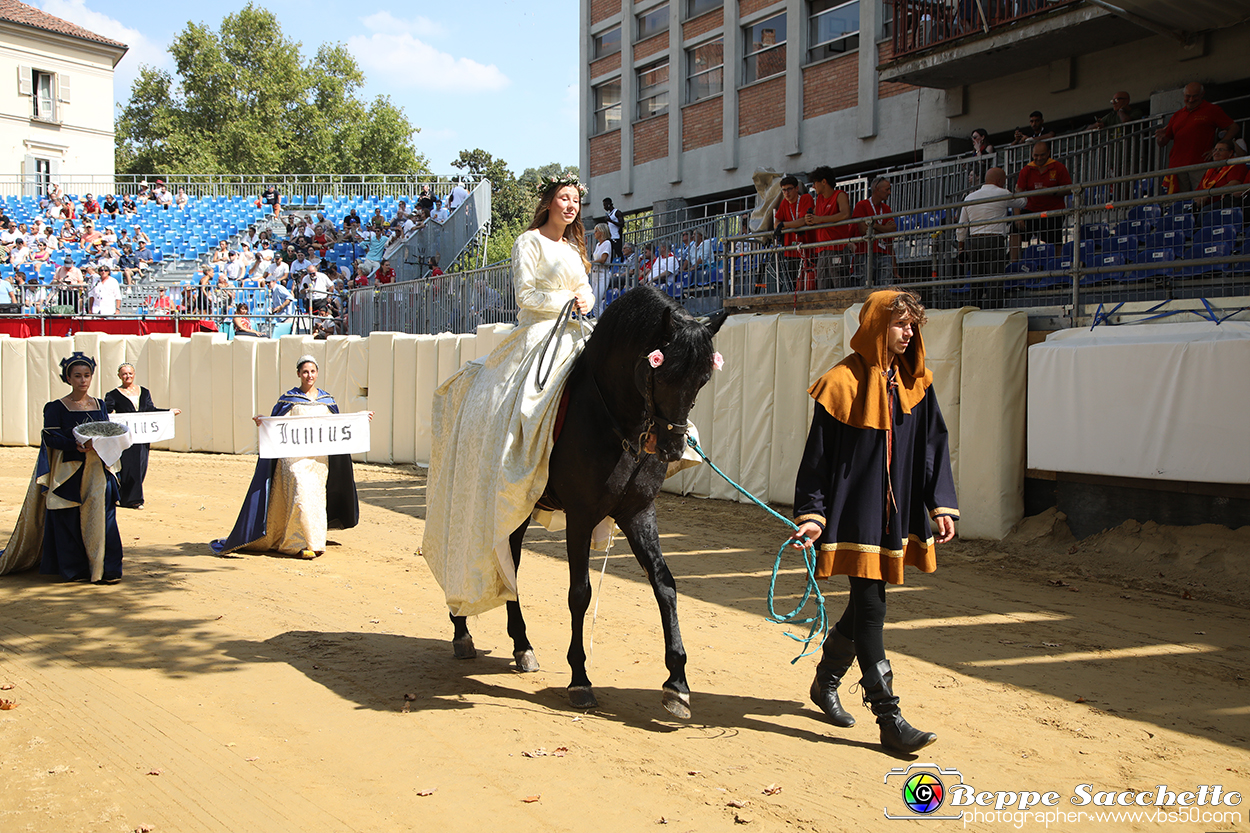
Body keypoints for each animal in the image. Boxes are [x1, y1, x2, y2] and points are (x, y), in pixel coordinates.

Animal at [452, 283, 730, 715]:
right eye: (660, 370)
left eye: (702, 379)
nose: (671, 448)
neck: (614, 420)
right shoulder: (581, 517)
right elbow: (579, 593)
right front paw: (579, 678)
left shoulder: (638, 513)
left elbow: (665, 585)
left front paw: (677, 683)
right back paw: (461, 629)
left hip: (515, 508)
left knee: (509, 562)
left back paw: (522, 645)